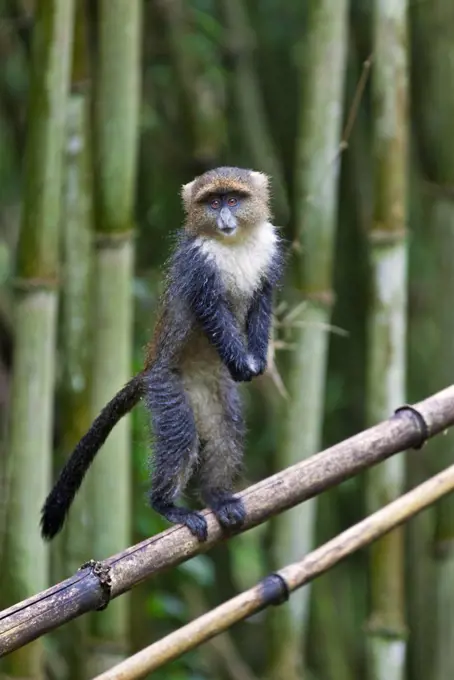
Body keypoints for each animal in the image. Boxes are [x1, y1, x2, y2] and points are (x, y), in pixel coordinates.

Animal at [40, 167, 286, 544]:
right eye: (212, 203)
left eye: (232, 200)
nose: (224, 219)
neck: (235, 244)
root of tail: (147, 372)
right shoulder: (198, 267)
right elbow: (212, 312)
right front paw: (242, 364)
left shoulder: (268, 254)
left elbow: (262, 302)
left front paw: (256, 360)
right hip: (167, 388)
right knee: (181, 436)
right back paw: (166, 505)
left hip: (213, 391)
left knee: (225, 429)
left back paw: (217, 496)